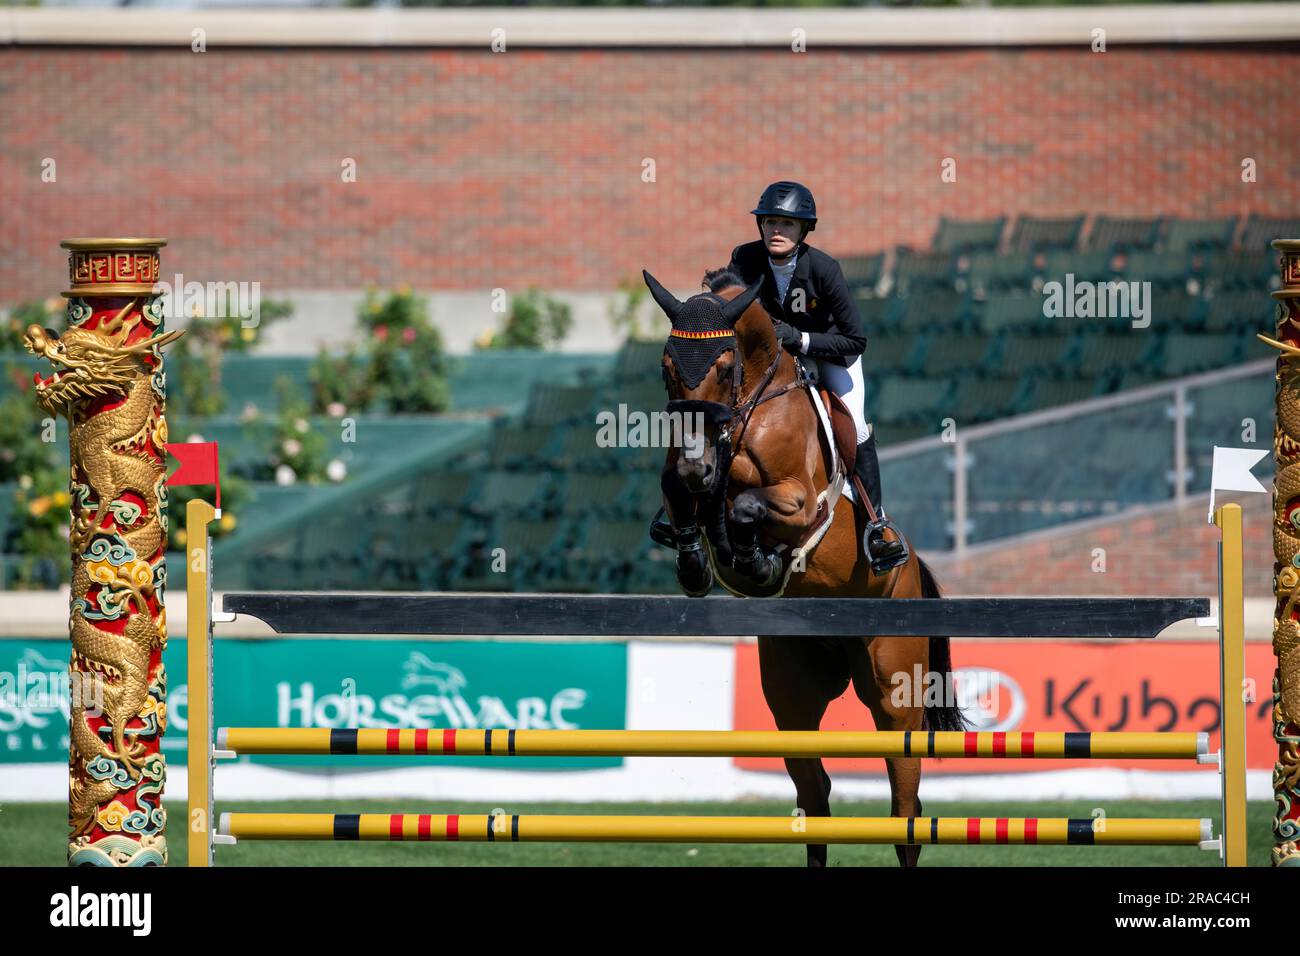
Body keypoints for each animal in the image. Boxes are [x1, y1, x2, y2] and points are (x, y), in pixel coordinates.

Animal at [642, 264, 967, 868]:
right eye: (667, 368)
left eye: (725, 368)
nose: (701, 470)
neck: (747, 408)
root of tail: (914, 568)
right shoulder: (684, 472)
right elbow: (677, 490)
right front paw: (698, 562)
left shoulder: (799, 500)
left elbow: (747, 505)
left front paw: (753, 558)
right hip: (792, 690)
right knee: (814, 791)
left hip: (894, 685)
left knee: (904, 794)